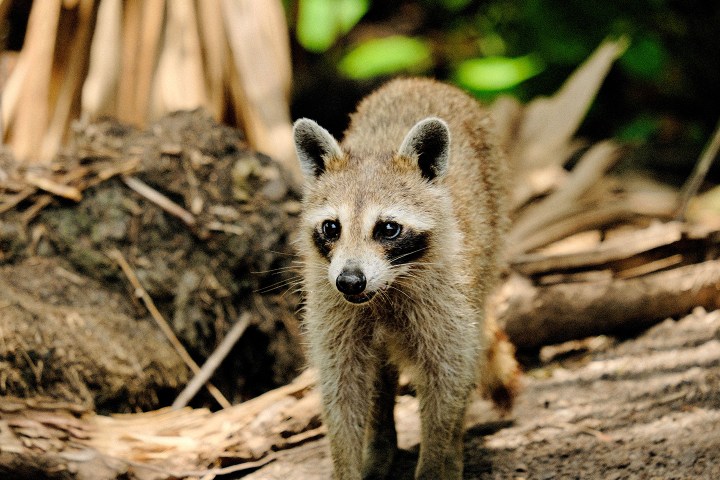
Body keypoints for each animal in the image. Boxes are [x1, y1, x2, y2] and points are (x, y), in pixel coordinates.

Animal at [293, 78, 520, 480]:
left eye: (388, 228)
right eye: (332, 227)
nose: (350, 281)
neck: (383, 290)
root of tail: (421, 80)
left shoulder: (444, 296)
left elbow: (447, 380)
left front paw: (435, 460)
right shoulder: (330, 300)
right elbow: (342, 386)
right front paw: (347, 464)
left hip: (491, 231)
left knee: (467, 354)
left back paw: (453, 450)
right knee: (378, 377)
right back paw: (380, 441)